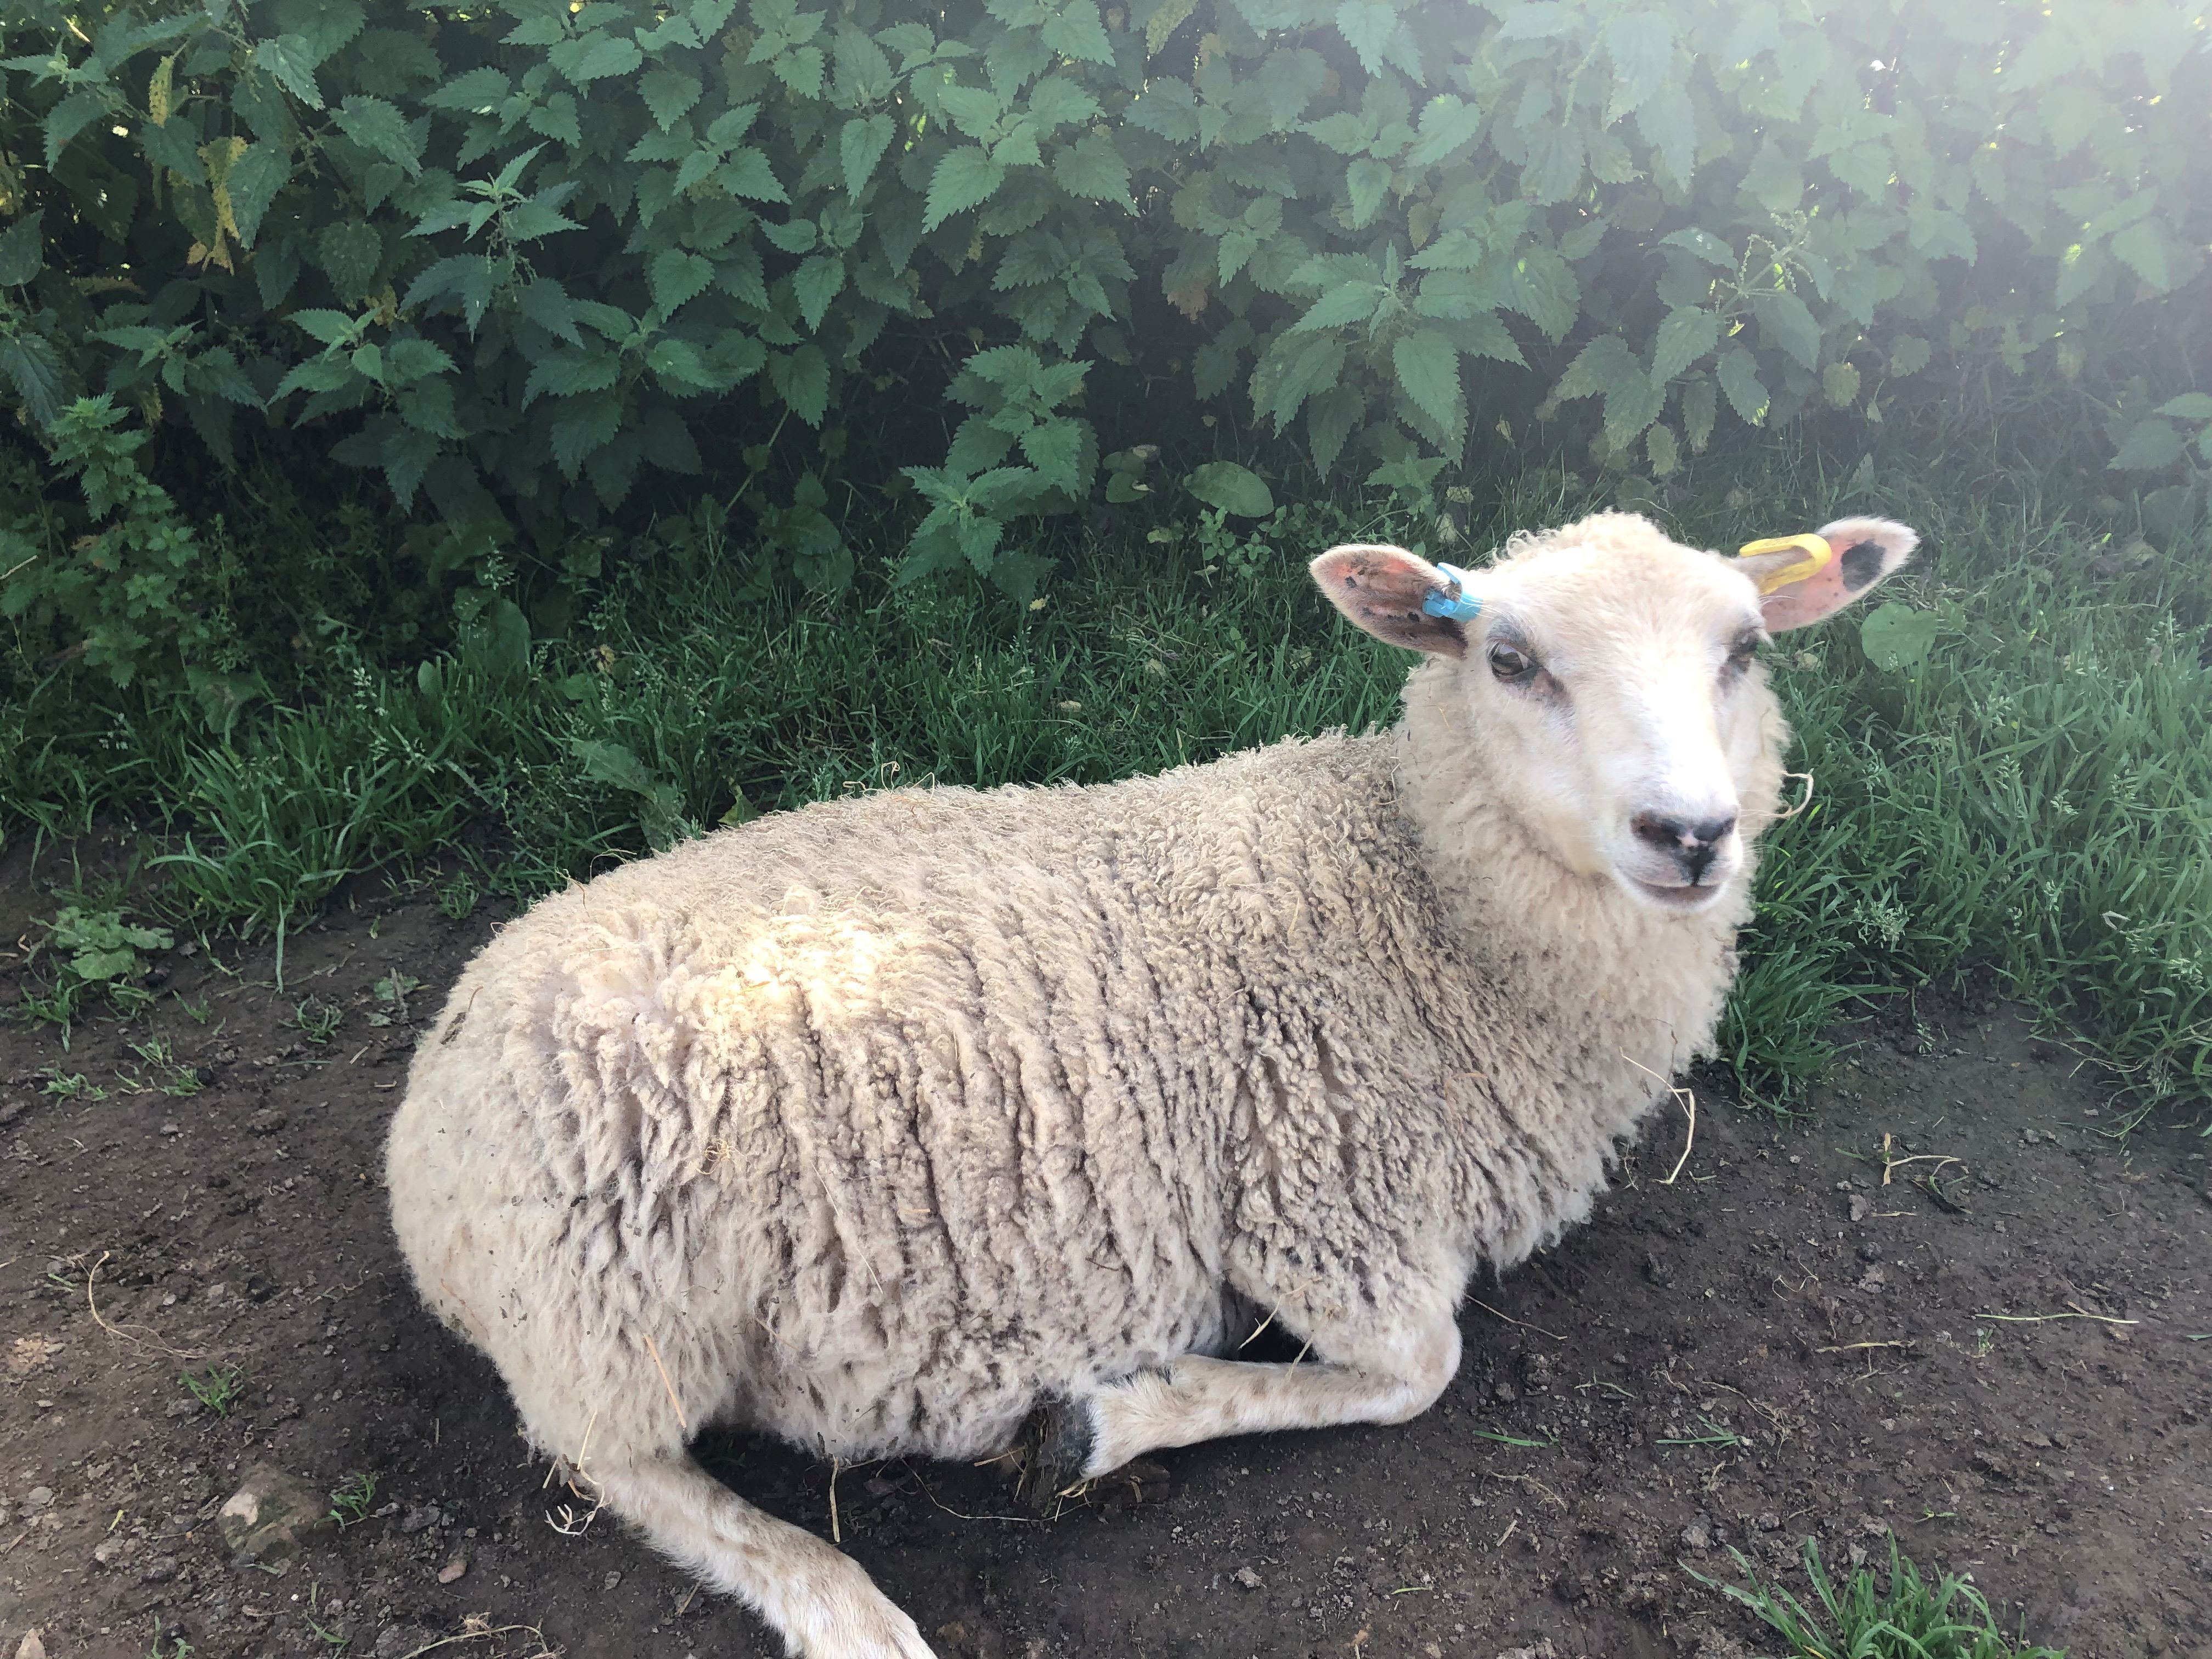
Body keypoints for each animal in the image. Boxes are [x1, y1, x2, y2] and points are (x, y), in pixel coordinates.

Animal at [385, 506, 1920, 1659]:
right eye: (1511, 658)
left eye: (1743, 649)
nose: (1690, 833)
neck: (1420, 903)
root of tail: (423, 1120)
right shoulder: (1322, 1215)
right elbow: (1419, 1373)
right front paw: (1110, 1419)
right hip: (610, 1315)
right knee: (614, 1464)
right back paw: (837, 1605)